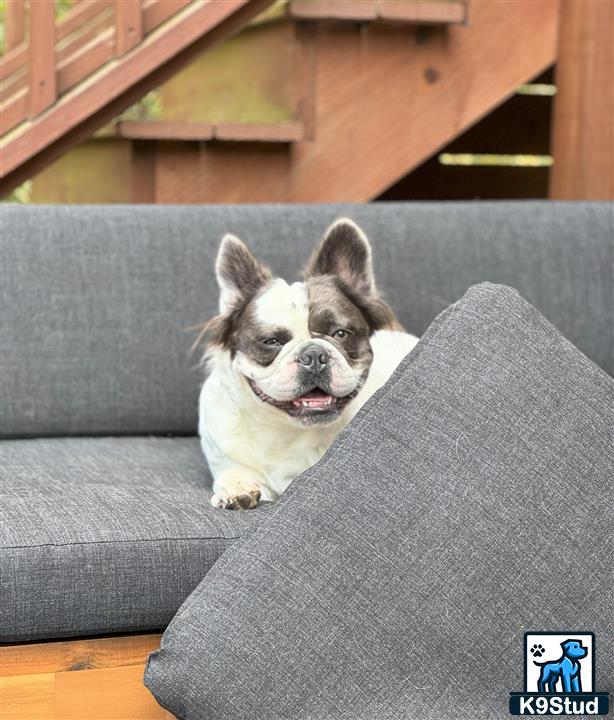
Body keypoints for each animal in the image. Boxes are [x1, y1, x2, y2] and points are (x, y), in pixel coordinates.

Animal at [197, 217, 418, 510]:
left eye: (340, 334)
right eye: (271, 341)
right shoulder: (225, 455)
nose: (313, 355)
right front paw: (236, 486)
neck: (290, 432)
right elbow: (232, 472)